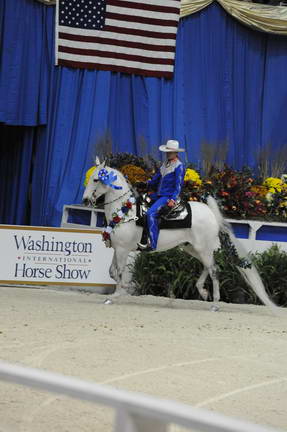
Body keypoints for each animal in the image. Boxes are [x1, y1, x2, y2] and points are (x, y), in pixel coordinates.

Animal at [84, 158, 280, 310]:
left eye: (96, 179)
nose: (85, 200)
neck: (126, 212)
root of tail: (211, 213)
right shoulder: (117, 249)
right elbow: (112, 272)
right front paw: (121, 290)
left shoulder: (123, 250)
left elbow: (118, 272)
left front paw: (116, 295)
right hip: (192, 248)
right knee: (208, 267)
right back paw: (203, 291)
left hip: (203, 248)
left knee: (214, 269)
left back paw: (215, 303)